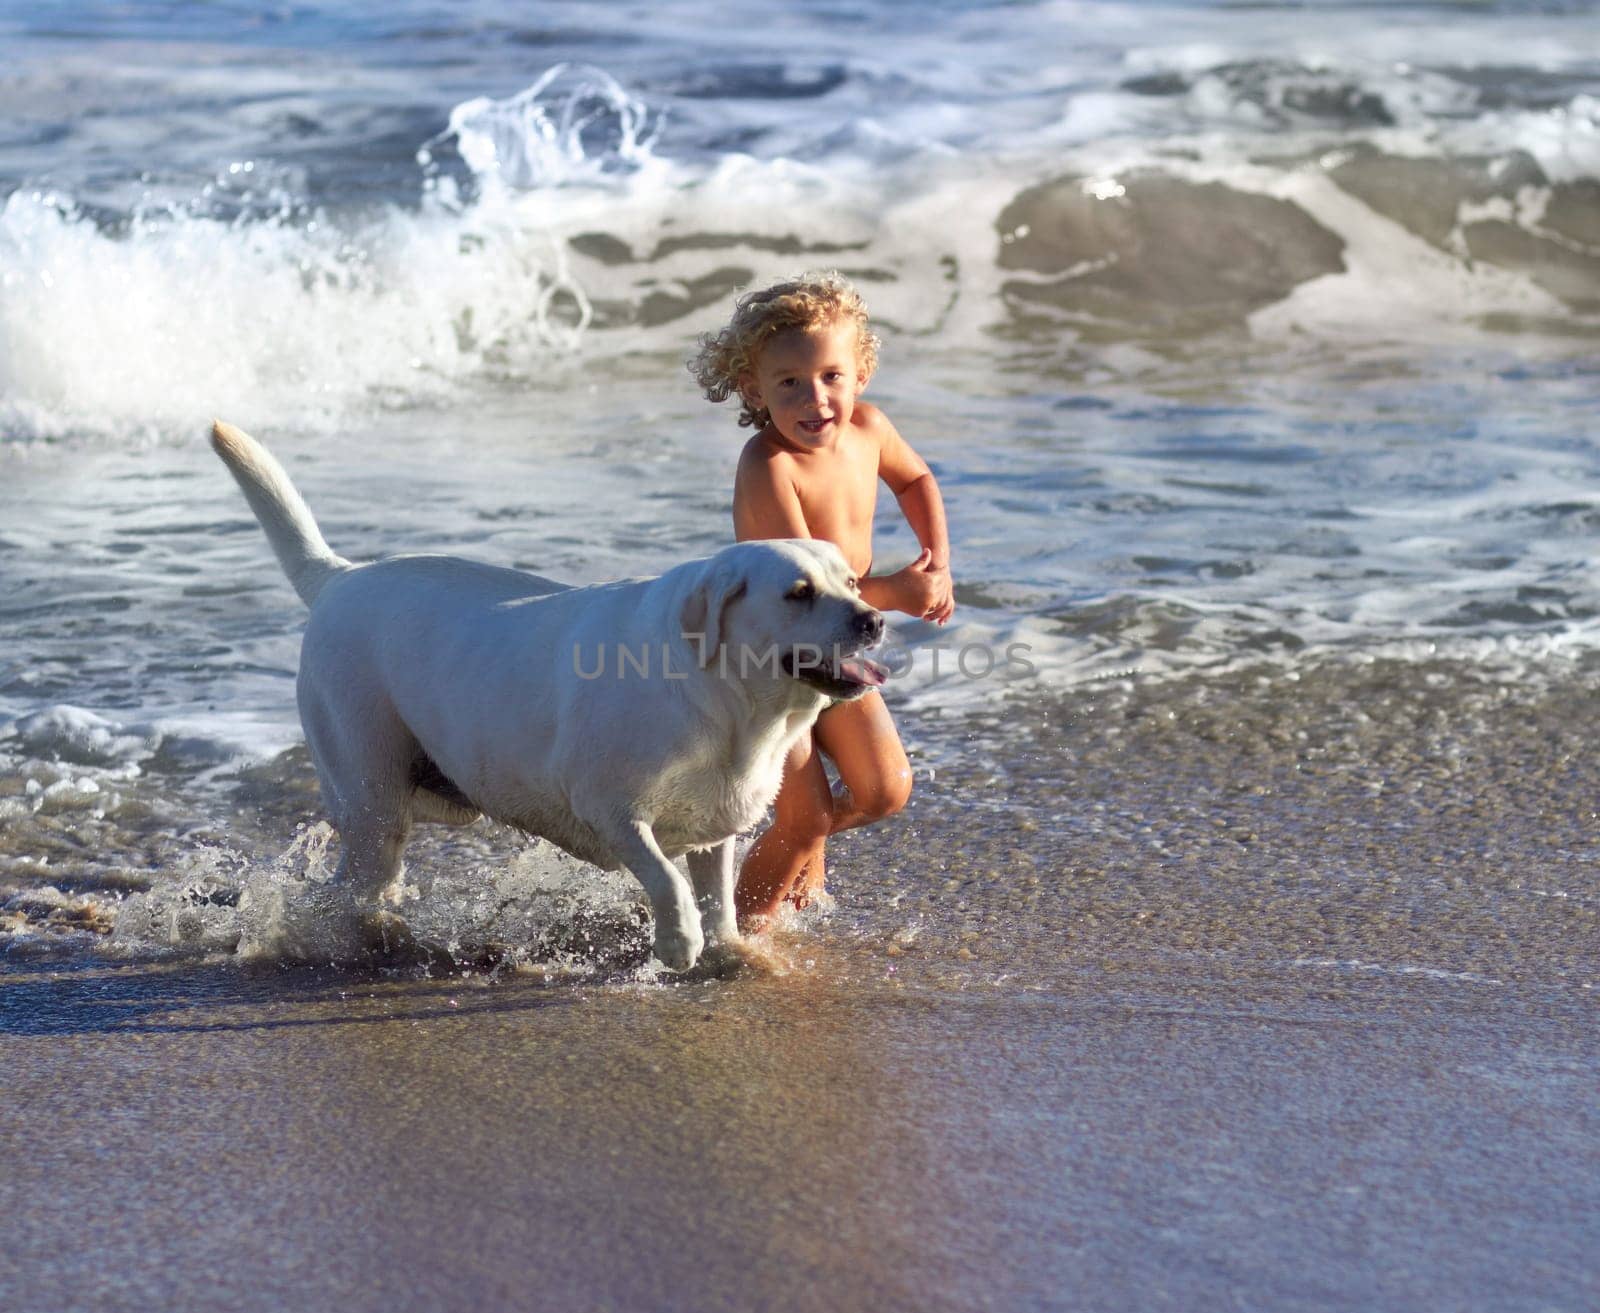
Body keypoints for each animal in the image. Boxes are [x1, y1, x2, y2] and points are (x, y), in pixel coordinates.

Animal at [209, 419, 889, 965]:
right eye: (798, 593)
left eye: (853, 582)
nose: (874, 620)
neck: (730, 704)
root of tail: (340, 578)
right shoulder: (611, 808)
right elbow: (666, 880)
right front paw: (679, 943)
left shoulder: (713, 825)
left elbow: (717, 895)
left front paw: (730, 951)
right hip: (370, 788)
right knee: (351, 876)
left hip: (436, 790)